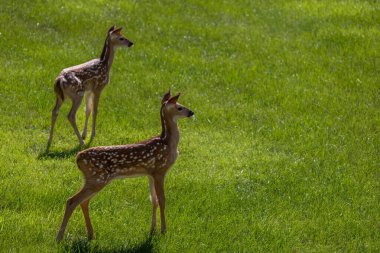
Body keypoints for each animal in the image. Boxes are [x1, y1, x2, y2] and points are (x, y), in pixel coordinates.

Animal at [57, 90, 196, 241]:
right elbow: (162, 200)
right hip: (98, 178)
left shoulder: (150, 173)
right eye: (179, 107)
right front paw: (163, 231)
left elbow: (153, 200)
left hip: (92, 179)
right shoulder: (160, 170)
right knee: (72, 201)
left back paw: (91, 235)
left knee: (83, 202)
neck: (168, 143)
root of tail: (78, 158)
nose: (191, 112)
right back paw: (60, 237)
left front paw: (153, 230)